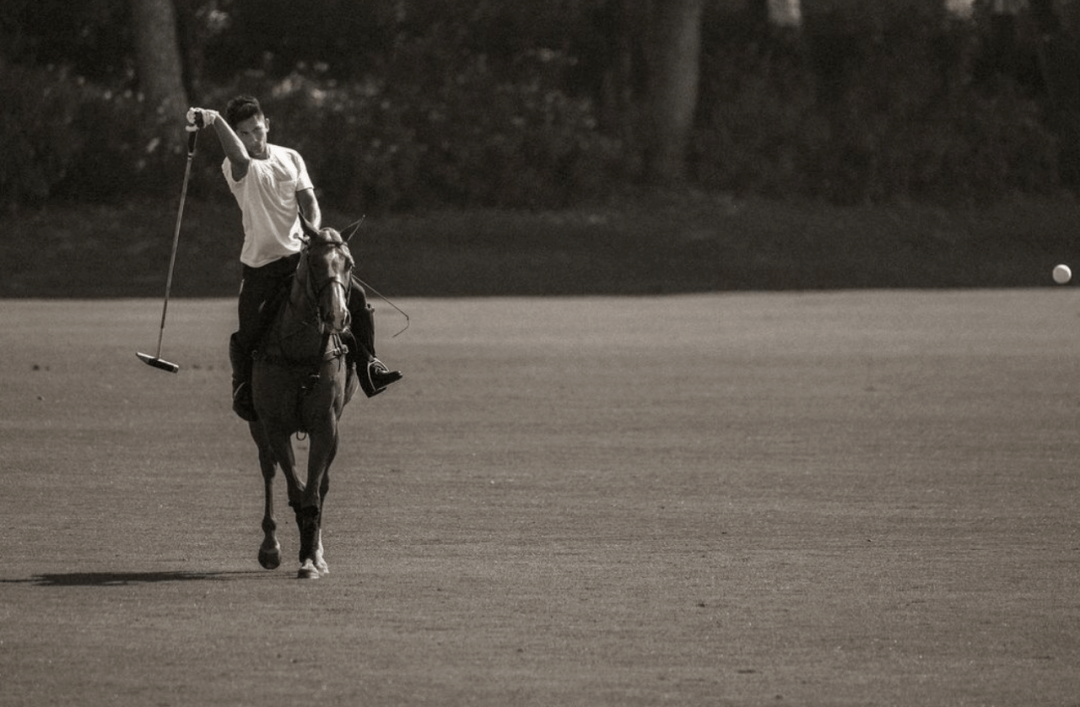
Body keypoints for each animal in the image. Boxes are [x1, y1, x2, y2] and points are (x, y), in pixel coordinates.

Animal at [246, 215, 360, 582]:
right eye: (314, 263)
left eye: (349, 264)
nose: (337, 316)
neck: (300, 350)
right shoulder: (275, 425)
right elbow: (295, 490)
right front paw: (286, 552)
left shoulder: (326, 424)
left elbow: (313, 493)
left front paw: (311, 558)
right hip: (257, 424)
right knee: (268, 468)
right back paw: (270, 546)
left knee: (321, 484)